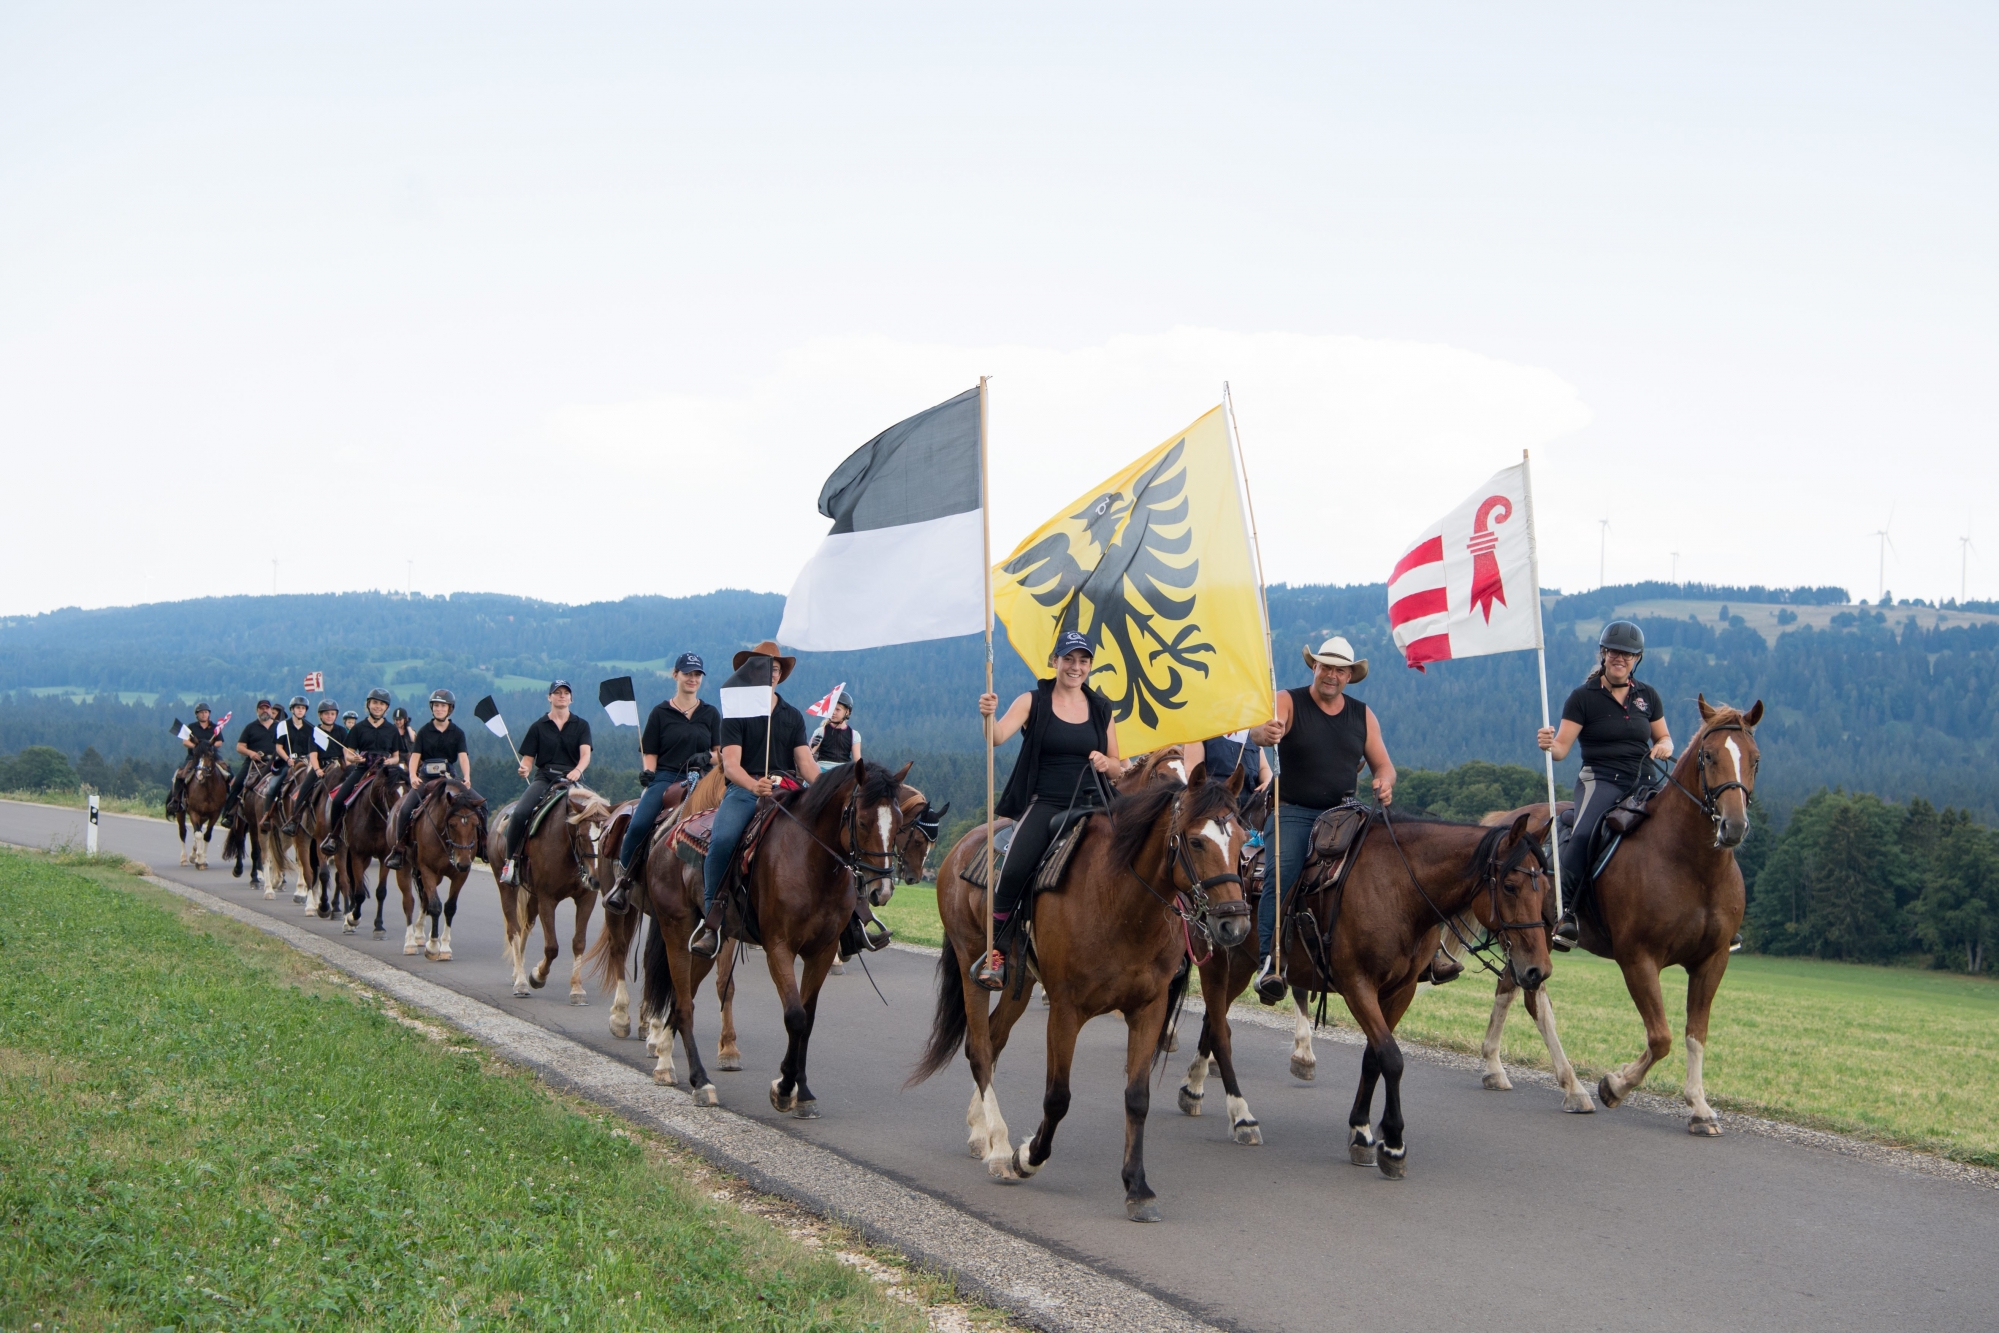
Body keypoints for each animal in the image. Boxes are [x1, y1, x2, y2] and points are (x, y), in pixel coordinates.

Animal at [403, 783, 485, 959]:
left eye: (476, 824)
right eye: (452, 824)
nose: (464, 863)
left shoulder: (460, 875)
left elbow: (449, 907)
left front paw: (445, 947)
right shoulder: (427, 870)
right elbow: (435, 906)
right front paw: (433, 946)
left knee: (424, 898)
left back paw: (419, 935)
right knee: (409, 901)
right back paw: (410, 943)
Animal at [481, 783, 607, 999]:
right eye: (582, 836)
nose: (595, 879)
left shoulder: (586, 899)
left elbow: (579, 942)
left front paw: (576, 988)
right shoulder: (547, 899)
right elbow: (551, 947)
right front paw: (537, 976)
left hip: (532, 895)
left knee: (525, 926)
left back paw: (517, 974)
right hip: (507, 887)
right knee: (514, 929)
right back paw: (521, 981)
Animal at [911, 759, 1247, 1223]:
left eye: (1243, 841)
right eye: (1196, 841)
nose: (1235, 924)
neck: (1120, 900)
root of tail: (962, 846)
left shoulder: (1149, 1008)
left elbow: (1137, 1098)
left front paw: (1137, 1187)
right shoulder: (1066, 1011)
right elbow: (1057, 1097)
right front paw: (1027, 1157)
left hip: (1021, 982)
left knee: (994, 1039)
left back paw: (982, 1131)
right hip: (970, 965)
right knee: (978, 1047)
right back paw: (998, 1146)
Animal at [1271, 807, 1551, 1183]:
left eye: (1546, 887)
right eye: (1510, 886)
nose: (1539, 970)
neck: (1399, 890)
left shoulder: (1400, 991)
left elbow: (1373, 1058)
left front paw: (1361, 1132)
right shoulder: (1357, 985)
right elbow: (1391, 1058)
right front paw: (1393, 1143)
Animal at [1471, 699, 1767, 1135]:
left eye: (1755, 759)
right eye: (1709, 756)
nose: (1733, 825)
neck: (1690, 863)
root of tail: (1512, 818)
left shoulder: (1712, 961)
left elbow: (1695, 1034)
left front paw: (1699, 1107)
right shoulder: (1638, 959)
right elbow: (1660, 1037)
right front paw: (1614, 1085)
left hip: (1523, 938)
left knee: (1509, 988)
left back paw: (1495, 1067)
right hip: (1535, 935)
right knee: (1535, 1001)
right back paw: (1573, 1088)